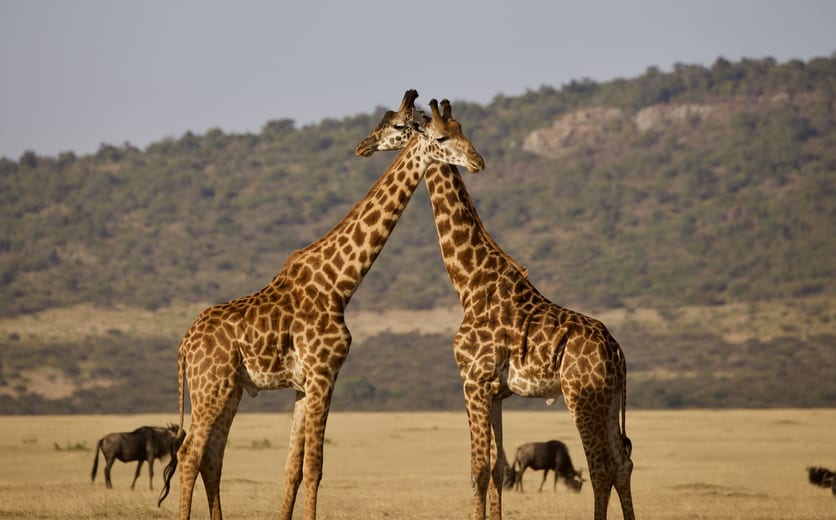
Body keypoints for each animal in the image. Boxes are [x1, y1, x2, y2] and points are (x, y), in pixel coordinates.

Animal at [157, 90, 485, 520]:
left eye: (461, 128)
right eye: (441, 137)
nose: (478, 161)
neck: (339, 284)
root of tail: (183, 346)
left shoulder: (303, 385)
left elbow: (292, 468)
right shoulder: (324, 373)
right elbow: (314, 467)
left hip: (228, 390)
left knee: (212, 457)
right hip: (211, 386)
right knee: (189, 454)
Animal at [355, 99, 634, 520]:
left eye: (397, 125)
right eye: (446, 133)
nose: (364, 145)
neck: (470, 283)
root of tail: (616, 352)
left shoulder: (473, 380)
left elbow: (478, 468)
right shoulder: (497, 392)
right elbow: (499, 467)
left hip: (583, 396)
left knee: (600, 466)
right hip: (610, 398)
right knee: (623, 461)